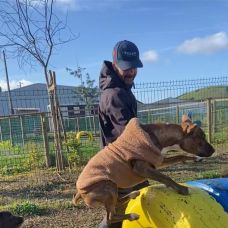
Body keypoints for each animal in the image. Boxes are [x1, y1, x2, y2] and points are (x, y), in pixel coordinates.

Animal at [73, 115, 214, 225]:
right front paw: (182, 189)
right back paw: (132, 215)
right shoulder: (142, 168)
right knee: (110, 217)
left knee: (117, 202)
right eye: (202, 137)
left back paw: (132, 194)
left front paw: (196, 158)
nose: (213, 150)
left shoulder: (159, 161)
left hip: (112, 188)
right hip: (108, 185)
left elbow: (180, 156)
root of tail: (79, 192)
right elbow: (165, 177)